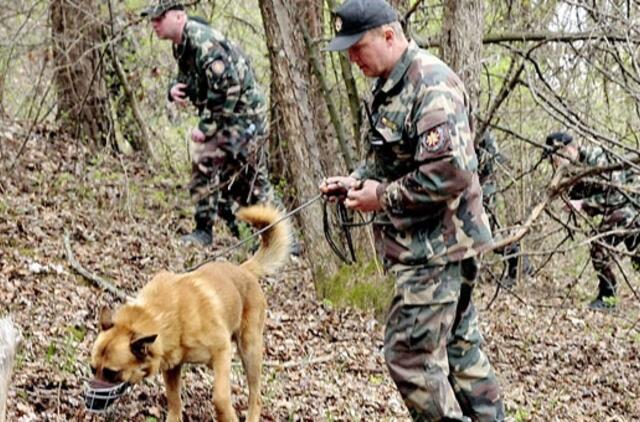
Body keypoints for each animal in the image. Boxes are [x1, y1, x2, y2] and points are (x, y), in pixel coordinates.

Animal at [88, 203, 292, 420]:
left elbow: (220, 398)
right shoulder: (171, 366)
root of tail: (244, 270)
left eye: (111, 373)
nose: (89, 403)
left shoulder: (222, 351)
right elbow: (174, 399)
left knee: (256, 396)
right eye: (92, 369)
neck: (164, 315)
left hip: (250, 351)